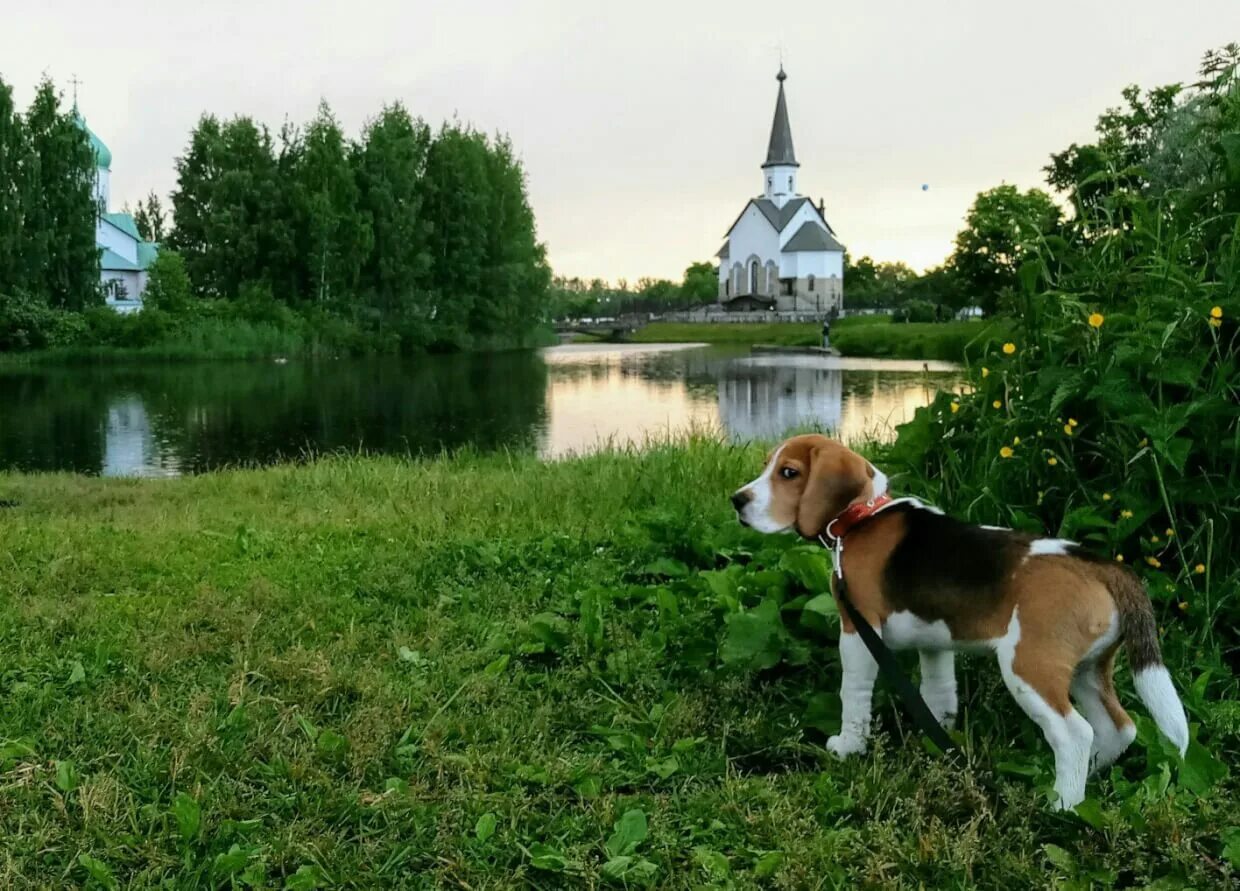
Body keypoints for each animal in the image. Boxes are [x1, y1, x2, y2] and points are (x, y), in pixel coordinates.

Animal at [729, 436, 1185, 812]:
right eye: (767, 466)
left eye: (789, 473)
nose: (737, 500)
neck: (862, 517)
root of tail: (1102, 566)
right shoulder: (935, 641)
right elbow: (940, 693)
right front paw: (936, 743)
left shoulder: (858, 631)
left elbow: (853, 693)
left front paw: (848, 747)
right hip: (1087, 668)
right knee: (1119, 728)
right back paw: (1088, 780)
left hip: (1029, 666)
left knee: (1075, 733)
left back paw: (1062, 806)